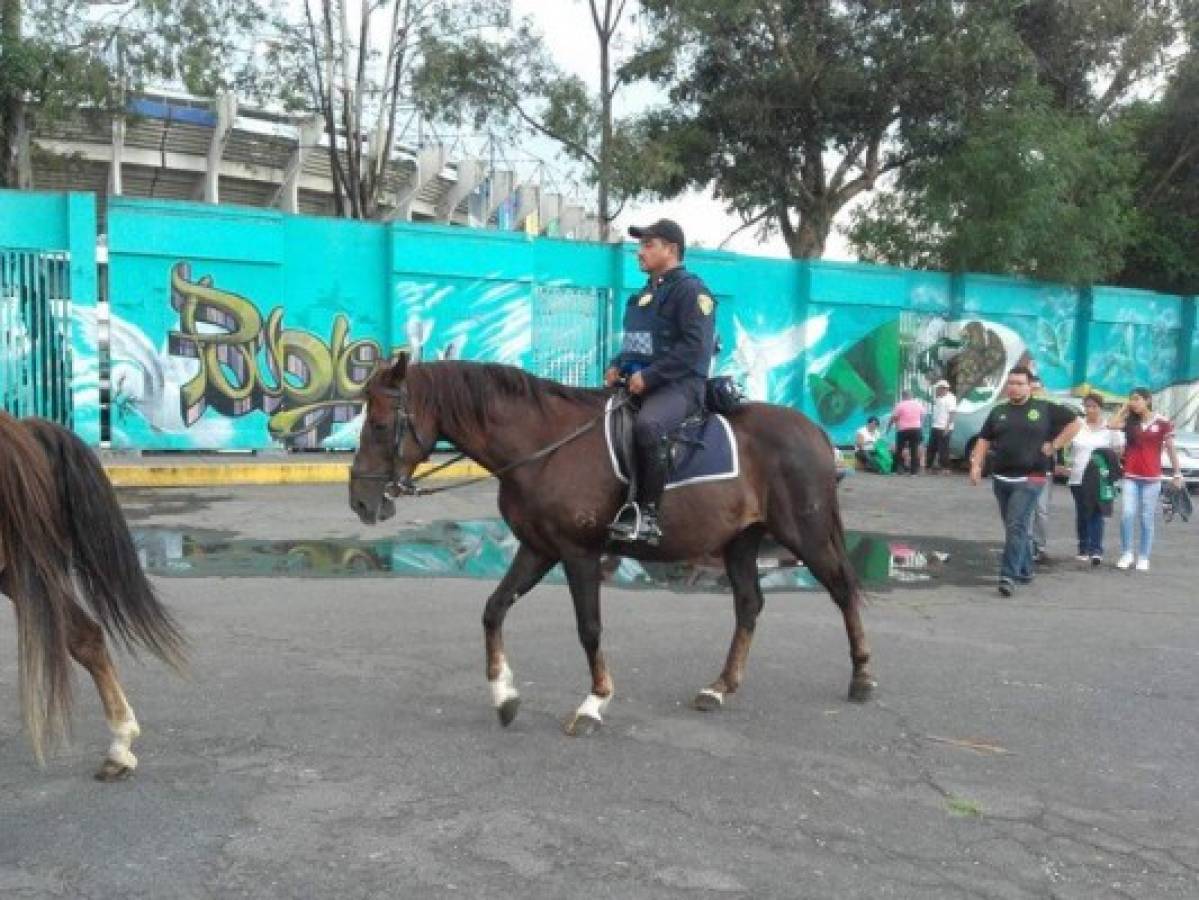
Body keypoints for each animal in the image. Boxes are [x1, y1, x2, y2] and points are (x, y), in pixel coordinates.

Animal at [347, 354, 872, 733]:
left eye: (379, 425)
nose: (360, 502)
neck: (544, 447)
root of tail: (813, 430)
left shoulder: (579, 553)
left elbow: (589, 628)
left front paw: (594, 702)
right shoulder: (538, 549)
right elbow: (494, 609)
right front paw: (504, 695)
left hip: (804, 533)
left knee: (843, 589)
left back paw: (862, 677)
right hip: (741, 540)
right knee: (749, 604)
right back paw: (720, 687)